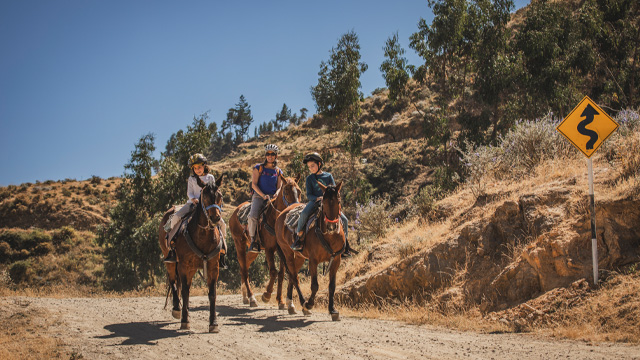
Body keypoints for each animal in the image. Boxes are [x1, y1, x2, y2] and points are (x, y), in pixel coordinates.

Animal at [159, 174, 225, 332]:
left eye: (220, 196)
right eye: (204, 196)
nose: (215, 218)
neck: (203, 235)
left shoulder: (213, 267)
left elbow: (212, 294)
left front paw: (213, 323)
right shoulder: (184, 266)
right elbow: (185, 291)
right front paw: (184, 320)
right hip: (171, 261)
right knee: (173, 282)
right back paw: (177, 309)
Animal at [229, 174, 302, 306]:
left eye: (299, 191)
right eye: (286, 191)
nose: (295, 207)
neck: (274, 218)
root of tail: (235, 212)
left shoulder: (282, 249)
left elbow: (281, 273)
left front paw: (281, 301)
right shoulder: (269, 249)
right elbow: (273, 271)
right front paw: (266, 295)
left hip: (254, 250)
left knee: (245, 265)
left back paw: (245, 296)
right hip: (239, 243)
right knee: (244, 269)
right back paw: (252, 298)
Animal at [276, 181, 344, 322]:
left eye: (339, 200)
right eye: (323, 202)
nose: (331, 227)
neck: (330, 236)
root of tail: (281, 214)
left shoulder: (336, 260)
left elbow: (332, 286)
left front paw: (333, 310)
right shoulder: (313, 261)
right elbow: (315, 285)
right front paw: (309, 304)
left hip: (300, 257)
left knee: (292, 275)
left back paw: (290, 304)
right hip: (287, 252)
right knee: (294, 276)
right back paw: (303, 303)